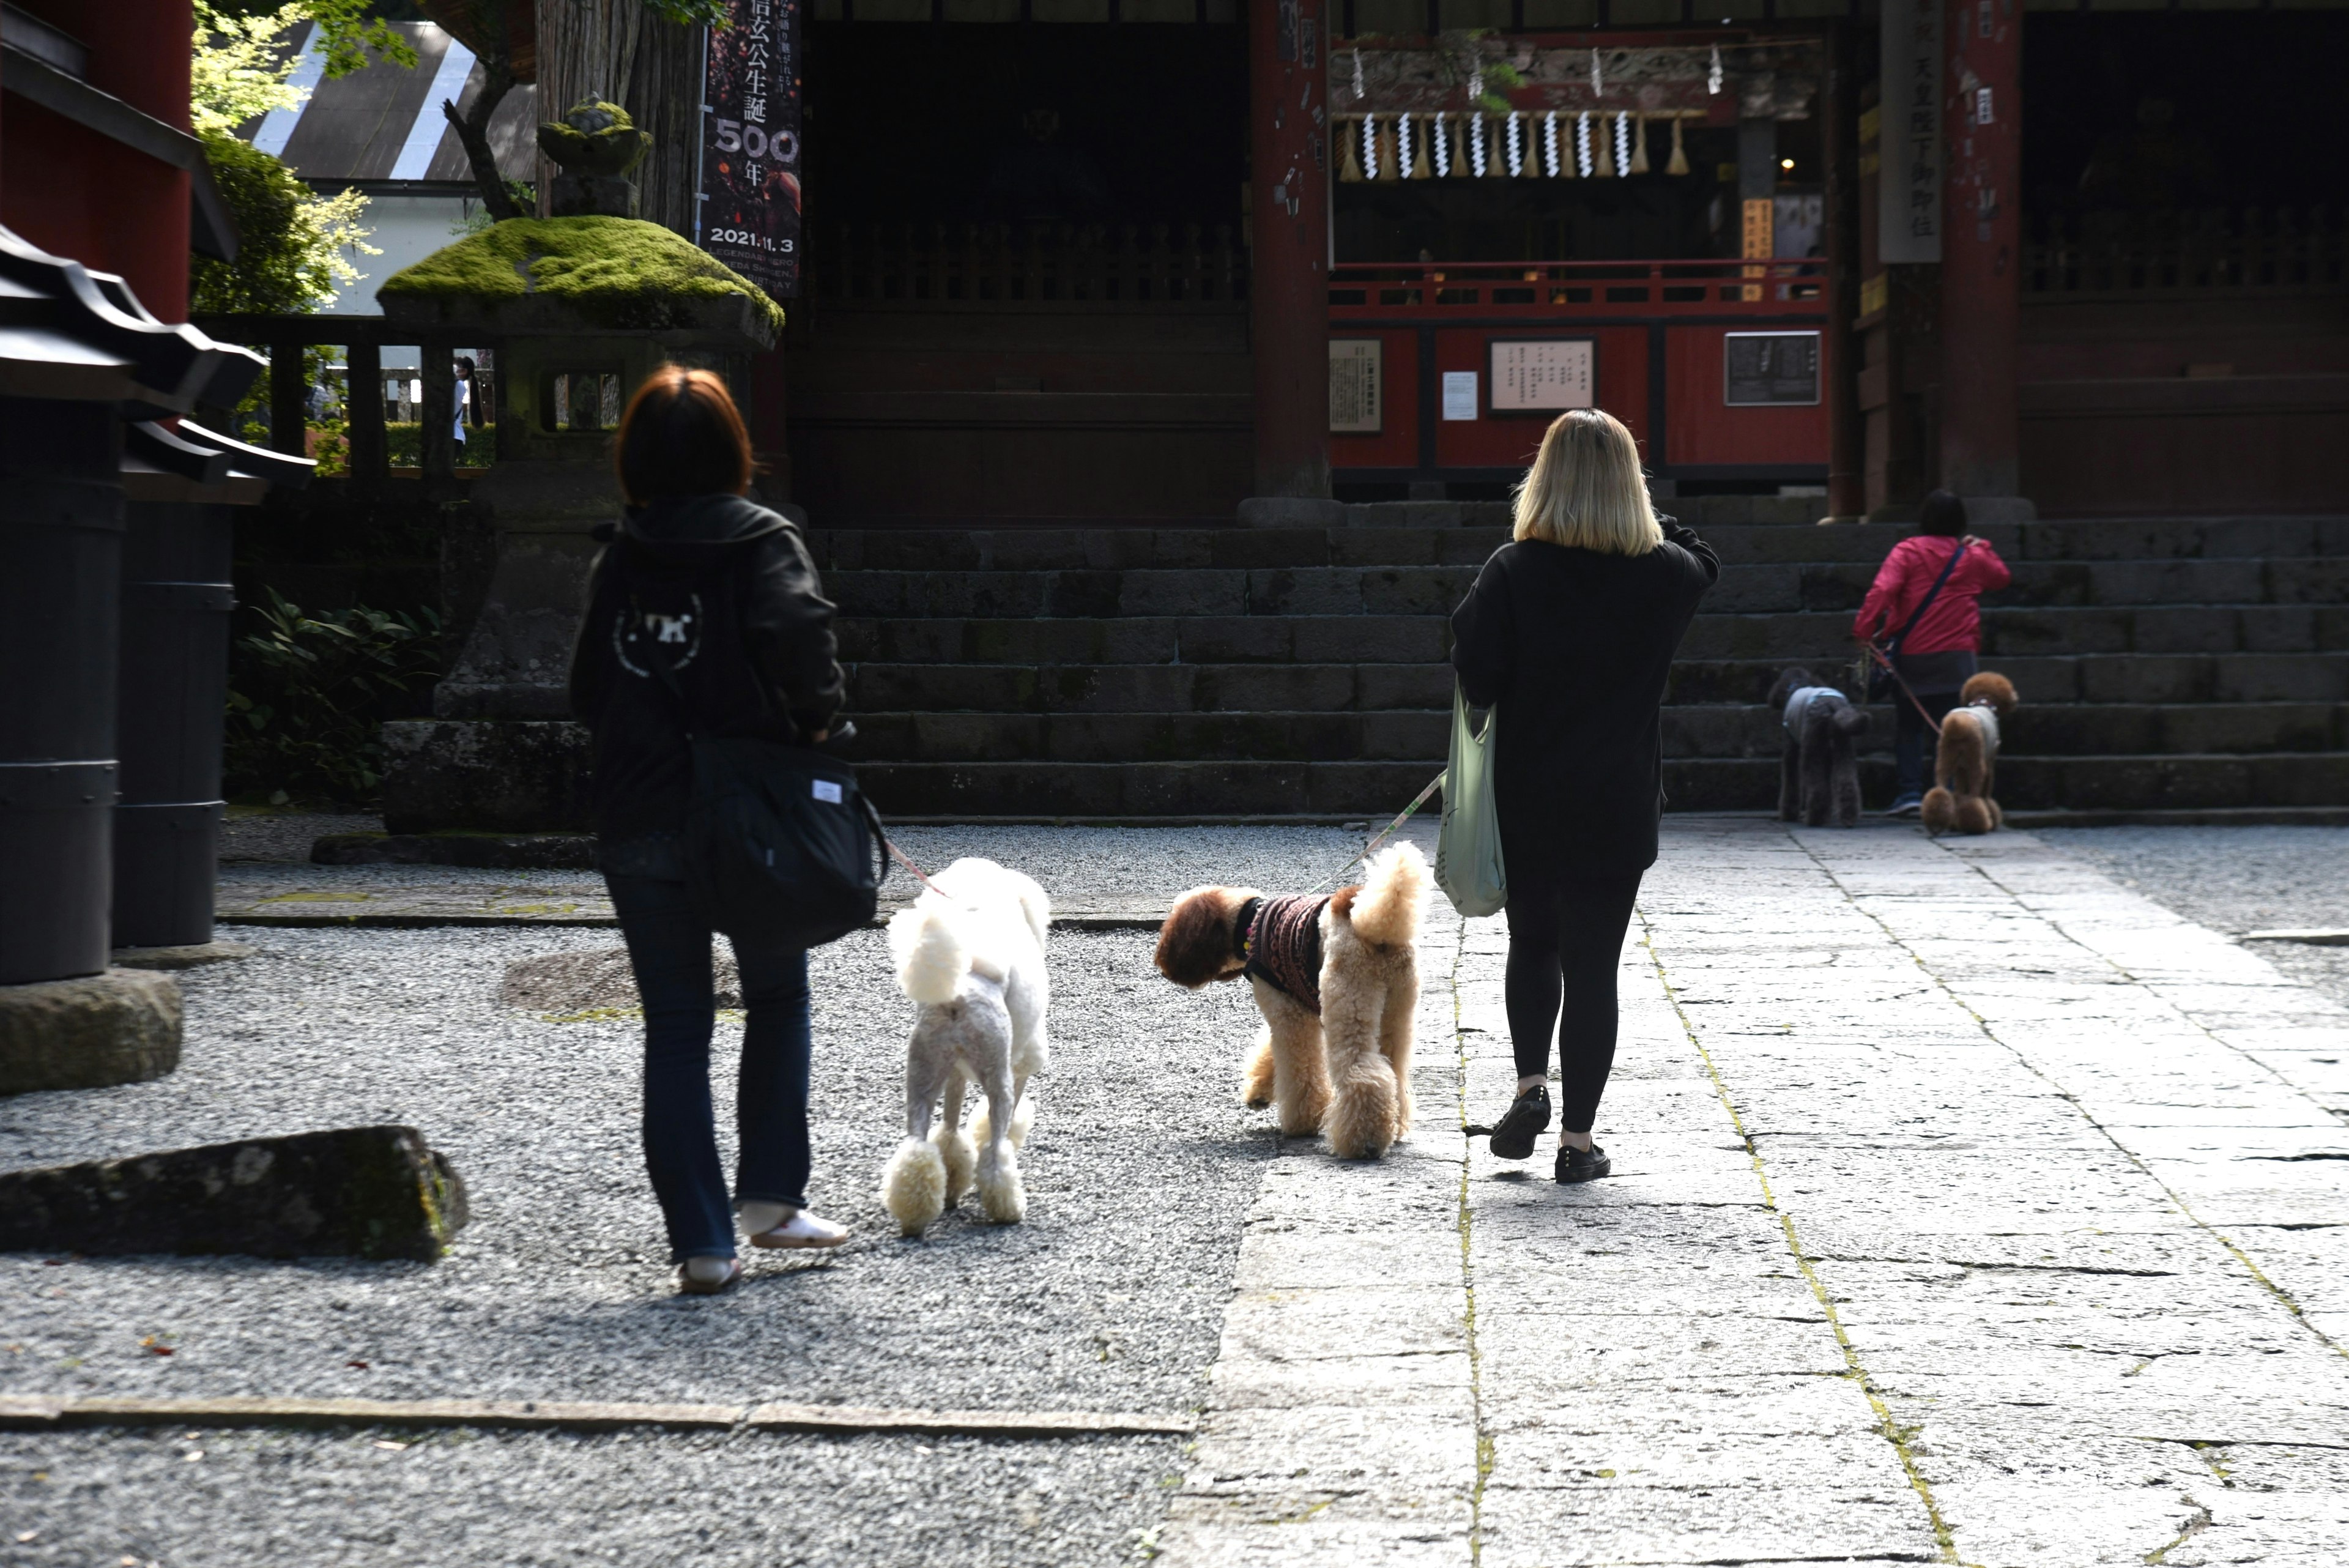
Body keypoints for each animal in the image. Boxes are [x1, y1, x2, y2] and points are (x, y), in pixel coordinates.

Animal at [1146, 846, 1419, 1165]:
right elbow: (1269, 1052)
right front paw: (1259, 1092)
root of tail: (1377, 926)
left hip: (1350, 1006)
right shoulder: (1292, 1005)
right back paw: (1394, 1126)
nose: (1163, 968)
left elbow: (1299, 1073)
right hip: (1396, 1014)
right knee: (1394, 1073)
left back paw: (1364, 1142)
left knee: (1364, 1075)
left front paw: (1302, 1122)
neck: (1250, 922)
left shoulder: (1288, 1015)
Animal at [1766, 667, 1869, 827]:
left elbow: (1790, 778)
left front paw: (1788, 815)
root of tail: (1833, 705)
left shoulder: (1790, 745)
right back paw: (1848, 817)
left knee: (1816, 786)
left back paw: (1814, 819)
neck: (1798, 684)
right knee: (1847, 781)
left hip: (1812, 744)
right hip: (1842, 742)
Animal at [1926, 677, 2020, 846]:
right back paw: (1978, 825)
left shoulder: (1961, 767)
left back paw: (1936, 823)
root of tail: (1958, 724)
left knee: (1940, 790)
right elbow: (1986, 790)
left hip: (1945, 756)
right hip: (1976, 759)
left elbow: (1958, 792)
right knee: (1974, 796)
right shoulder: (1989, 760)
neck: (1984, 702)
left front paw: (1955, 823)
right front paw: (1992, 817)